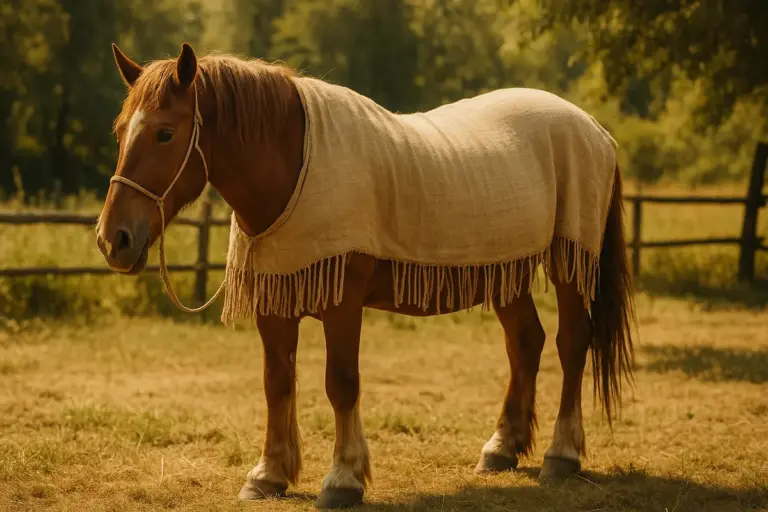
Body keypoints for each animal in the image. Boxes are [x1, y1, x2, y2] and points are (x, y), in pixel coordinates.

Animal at [96, 42, 636, 509]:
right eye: (119, 132)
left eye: (165, 132)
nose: (113, 239)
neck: (295, 161)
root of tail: (596, 130)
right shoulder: (276, 304)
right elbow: (277, 383)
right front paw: (269, 475)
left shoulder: (343, 302)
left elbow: (341, 384)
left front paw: (343, 479)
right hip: (504, 269)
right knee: (526, 342)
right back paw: (501, 448)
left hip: (570, 262)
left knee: (572, 342)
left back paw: (561, 456)